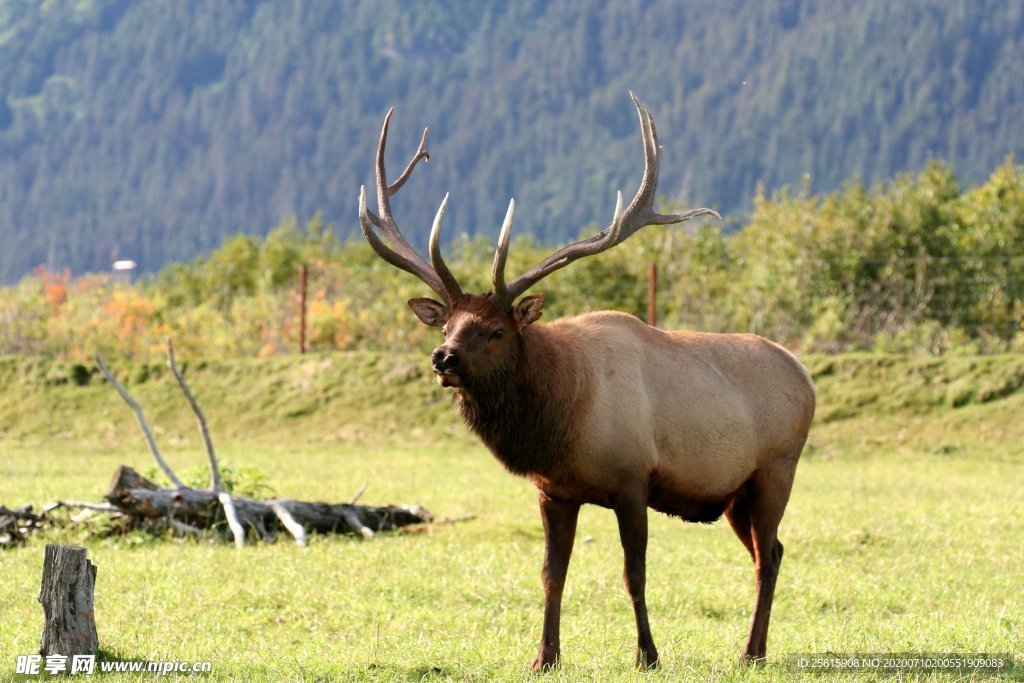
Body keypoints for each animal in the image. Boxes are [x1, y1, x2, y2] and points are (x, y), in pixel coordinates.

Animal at [358, 93, 815, 671]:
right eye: (446, 326)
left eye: (495, 330)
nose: (443, 357)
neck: (562, 419)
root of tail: (805, 374)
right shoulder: (553, 491)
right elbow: (552, 575)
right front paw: (544, 657)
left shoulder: (633, 480)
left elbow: (634, 574)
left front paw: (648, 654)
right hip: (736, 494)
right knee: (770, 549)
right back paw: (755, 648)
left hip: (777, 469)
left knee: (768, 556)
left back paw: (750, 652)